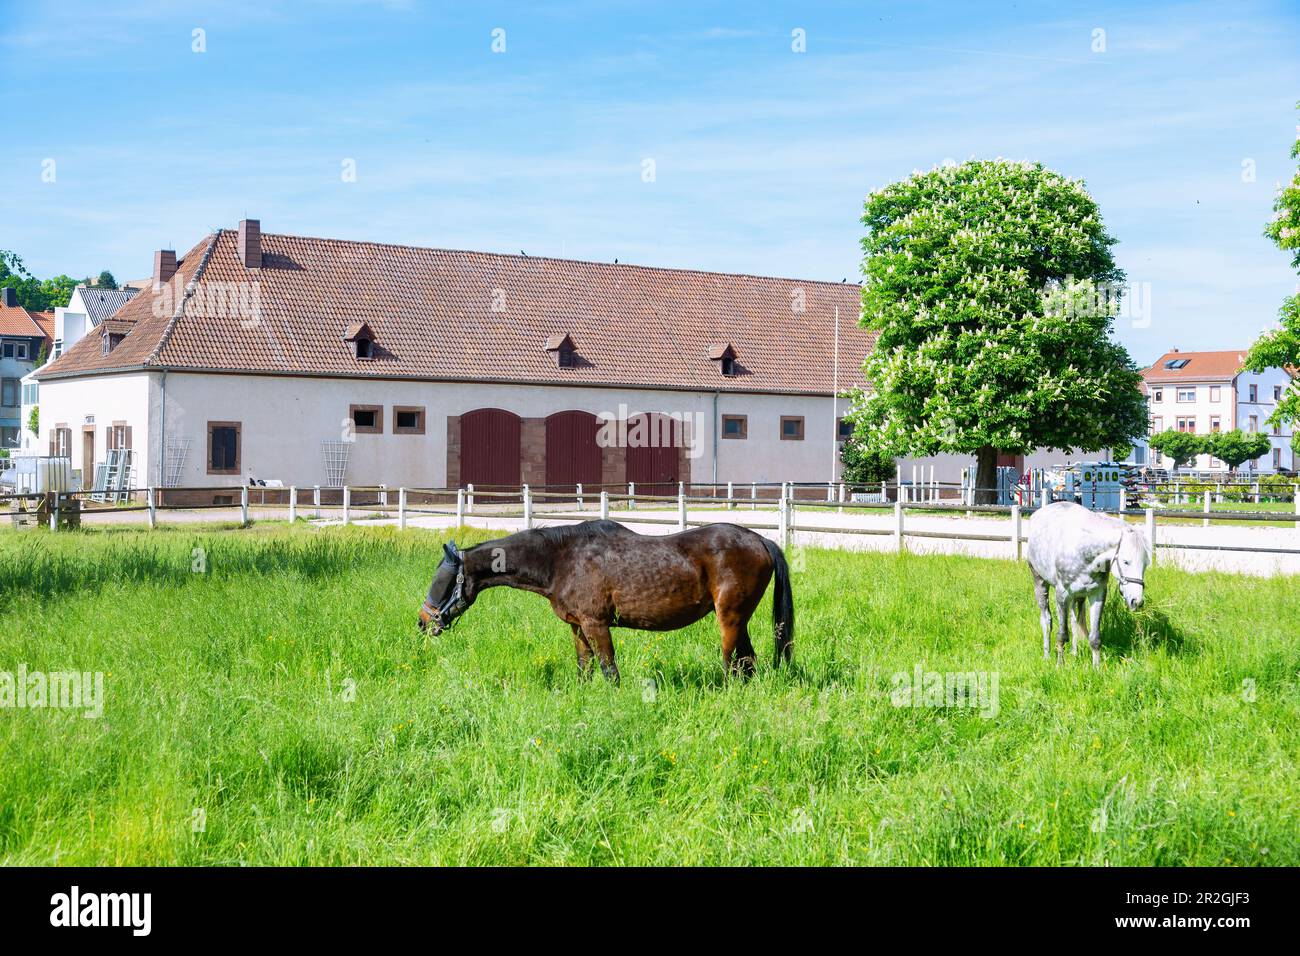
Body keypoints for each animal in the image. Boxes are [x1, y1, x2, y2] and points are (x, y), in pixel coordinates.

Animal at [417, 520, 794, 682]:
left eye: (443, 580)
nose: (423, 621)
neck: (561, 559)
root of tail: (760, 539)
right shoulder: (578, 627)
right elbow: (584, 669)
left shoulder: (597, 624)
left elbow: (609, 670)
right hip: (740, 620)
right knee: (748, 662)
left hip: (729, 618)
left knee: (733, 663)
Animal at [1025, 501, 1150, 667]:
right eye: (1126, 561)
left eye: (1145, 564)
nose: (1136, 601)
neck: (1083, 550)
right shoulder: (1062, 595)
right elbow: (1062, 634)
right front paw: (1059, 665)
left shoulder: (1097, 594)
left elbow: (1094, 637)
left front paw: (1096, 668)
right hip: (1040, 582)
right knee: (1046, 620)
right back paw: (1047, 655)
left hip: (1077, 597)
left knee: (1074, 621)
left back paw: (1074, 653)